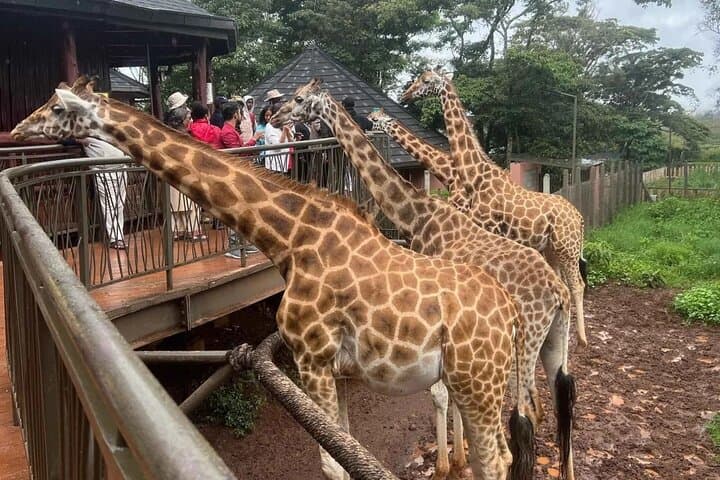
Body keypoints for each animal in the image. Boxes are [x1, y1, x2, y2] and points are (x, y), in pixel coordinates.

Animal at [13, 77, 522, 480]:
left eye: (55, 107)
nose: (17, 130)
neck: (289, 239)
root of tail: (511, 312)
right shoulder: (336, 369)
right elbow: (347, 449)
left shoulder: (311, 356)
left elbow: (332, 465)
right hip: (476, 383)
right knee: (504, 451)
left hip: (476, 382)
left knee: (496, 459)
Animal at [400, 71, 588, 349]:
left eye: (426, 81)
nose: (405, 95)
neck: (475, 174)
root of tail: (579, 217)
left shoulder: (483, 227)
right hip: (552, 250)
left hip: (568, 249)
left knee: (577, 285)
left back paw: (582, 339)